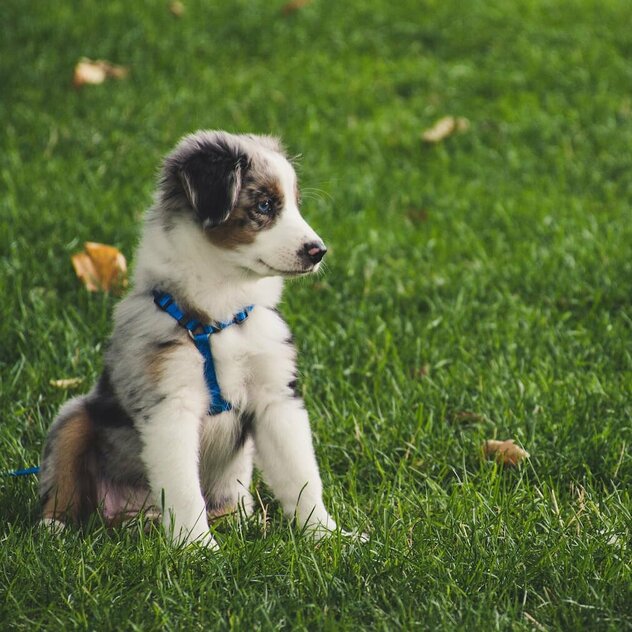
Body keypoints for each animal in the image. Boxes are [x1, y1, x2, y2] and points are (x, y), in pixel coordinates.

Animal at [38, 130, 346, 548]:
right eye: (265, 205)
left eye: (295, 205)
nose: (318, 252)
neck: (221, 312)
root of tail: (132, 515)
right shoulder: (170, 404)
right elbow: (184, 489)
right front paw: (198, 549)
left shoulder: (276, 397)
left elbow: (301, 475)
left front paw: (329, 537)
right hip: (74, 416)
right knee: (63, 479)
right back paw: (54, 527)